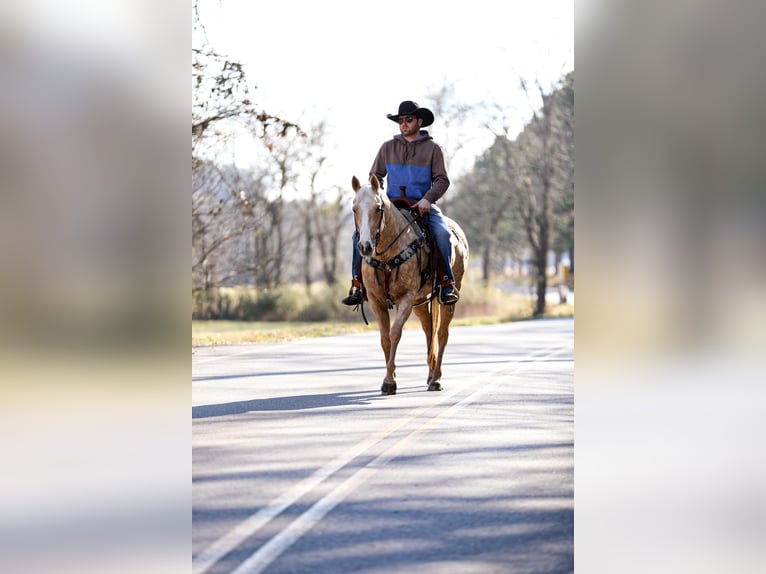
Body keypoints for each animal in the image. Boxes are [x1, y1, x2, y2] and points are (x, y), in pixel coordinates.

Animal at [352, 176, 472, 396]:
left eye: (378, 208)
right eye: (354, 208)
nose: (365, 246)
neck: (387, 255)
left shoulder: (406, 299)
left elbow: (395, 333)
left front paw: (389, 381)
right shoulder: (376, 300)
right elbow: (385, 338)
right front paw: (391, 376)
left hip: (447, 297)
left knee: (442, 334)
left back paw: (436, 379)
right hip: (420, 303)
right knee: (429, 330)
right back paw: (431, 373)